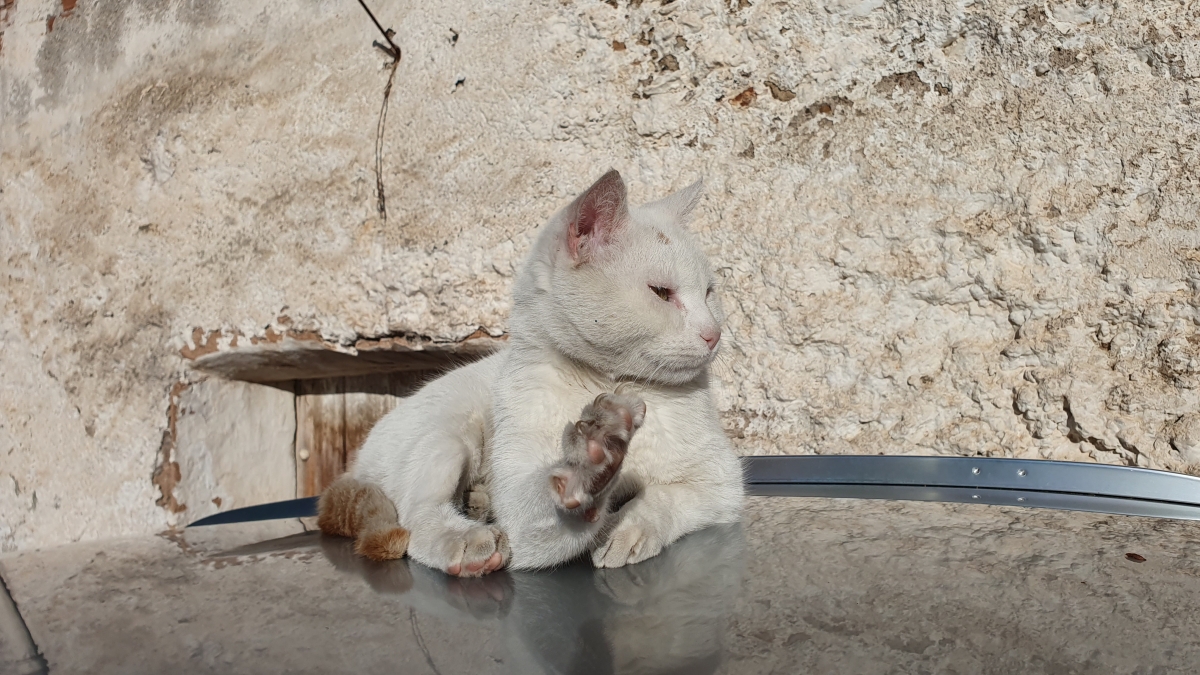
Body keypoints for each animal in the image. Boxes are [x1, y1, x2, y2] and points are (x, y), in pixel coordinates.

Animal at [324, 169, 744, 571]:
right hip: (449, 434)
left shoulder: (722, 483)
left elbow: (662, 497)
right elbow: (554, 507)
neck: (613, 383)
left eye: (709, 292)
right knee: (418, 518)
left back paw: (478, 500)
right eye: (661, 293)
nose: (714, 333)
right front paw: (591, 464)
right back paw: (468, 538)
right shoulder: (523, 526)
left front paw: (626, 528)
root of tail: (357, 463)